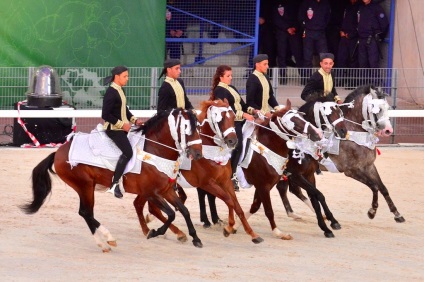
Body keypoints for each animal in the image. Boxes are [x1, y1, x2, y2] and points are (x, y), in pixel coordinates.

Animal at [20, 108, 205, 251]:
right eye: (187, 128)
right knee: (85, 212)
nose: (197, 154)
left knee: (86, 213)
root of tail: (58, 152)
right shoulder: (151, 193)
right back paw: (107, 239)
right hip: (85, 186)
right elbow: (172, 214)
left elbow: (184, 211)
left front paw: (195, 238)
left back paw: (105, 241)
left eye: (198, 127)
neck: (155, 150)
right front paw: (155, 232)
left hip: (86, 187)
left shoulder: (166, 191)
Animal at [144, 100, 264, 243]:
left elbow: (237, 206)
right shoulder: (207, 184)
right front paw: (229, 227)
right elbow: (228, 200)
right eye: (220, 119)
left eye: (233, 117)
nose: (233, 141)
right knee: (153, 208)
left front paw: (252, 234)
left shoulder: (225, 181)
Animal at [280, 85, 406, 224]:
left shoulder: (369, 166)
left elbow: (383, 188)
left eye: (387, 107)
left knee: (289, 188)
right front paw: (372, 212)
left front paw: (397, 214)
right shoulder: (351, 171)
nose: (388, 130)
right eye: (377, 109)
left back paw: (296, 213)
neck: (355, 135)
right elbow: (374, 186)